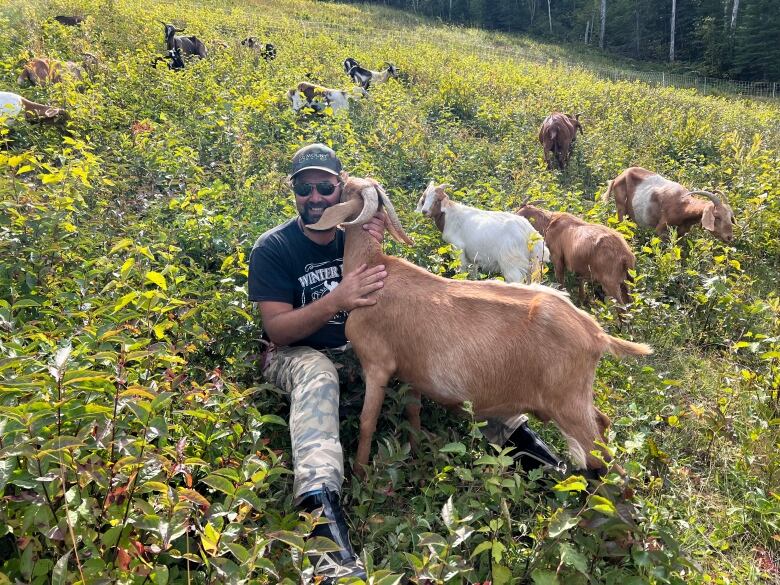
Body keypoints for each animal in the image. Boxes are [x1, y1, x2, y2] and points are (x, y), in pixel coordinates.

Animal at [414, 181, 548, 284]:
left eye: (437, 199)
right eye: (424, 198)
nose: (424, 211)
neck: (450, 215)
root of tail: (529, 233)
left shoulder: (458, 249)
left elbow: (461, 271)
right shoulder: (473, 259)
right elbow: (472, 274)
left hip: (511, 260)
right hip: (533, 263)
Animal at [604, 165, 736, 243]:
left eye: (730, 217)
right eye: (717, 217)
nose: (729, 237)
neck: (684, 206)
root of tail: (618, 177)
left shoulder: (682, 232)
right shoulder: (661, 228)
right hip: (620, 204)